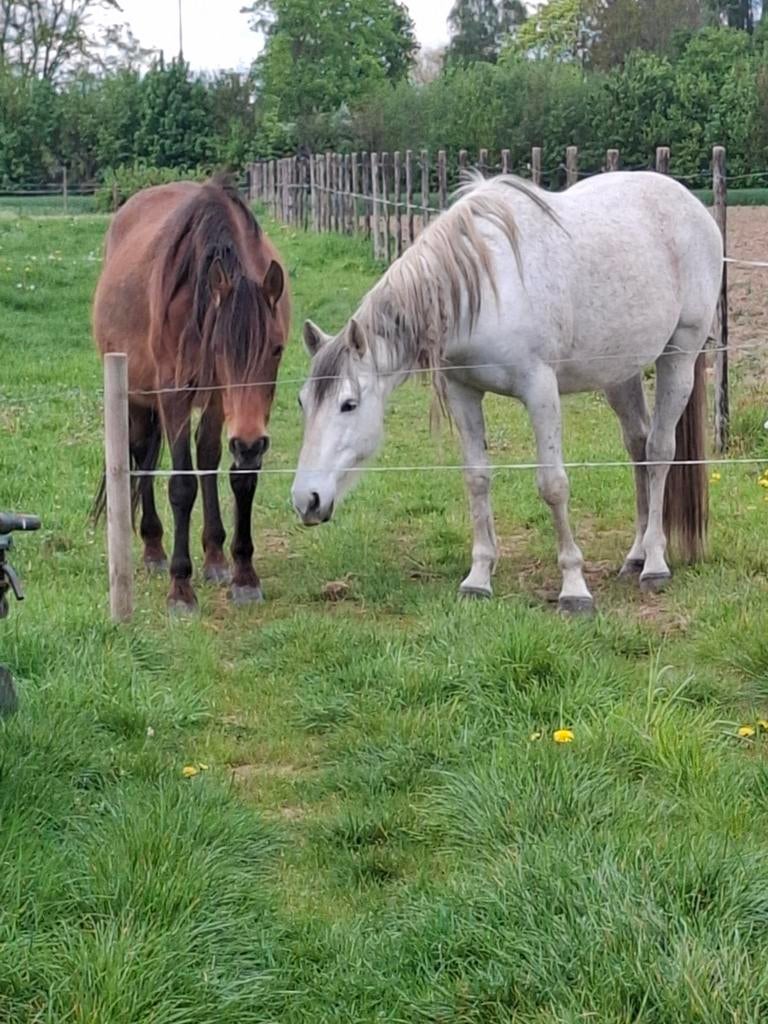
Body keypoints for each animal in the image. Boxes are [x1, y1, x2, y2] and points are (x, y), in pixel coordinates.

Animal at [93, 174, 290, 613]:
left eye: (277, 348)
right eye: (219, 349)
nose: (249, 443)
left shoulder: (228, 403)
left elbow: (235, 475)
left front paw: (243, 575)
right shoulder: (173, 392)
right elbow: (181, 485)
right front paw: (180, 588)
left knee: (206, 457)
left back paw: (214, 556)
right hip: (136, 393)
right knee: (140, 457)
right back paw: (153, 550)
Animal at [291, 171, 723, 614]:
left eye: (349, 404)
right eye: (302, 402)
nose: (306, 500)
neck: (483, 290)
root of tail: (689, 201)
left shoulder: (540, 390)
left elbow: (553, 485)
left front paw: (574, 588)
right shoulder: (463, 392)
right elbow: (477, 479)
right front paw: (478, 577)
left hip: (679, 354)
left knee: (659, 451)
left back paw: (654, 564)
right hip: (621, 372)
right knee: (638, 445)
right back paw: (635, 556)